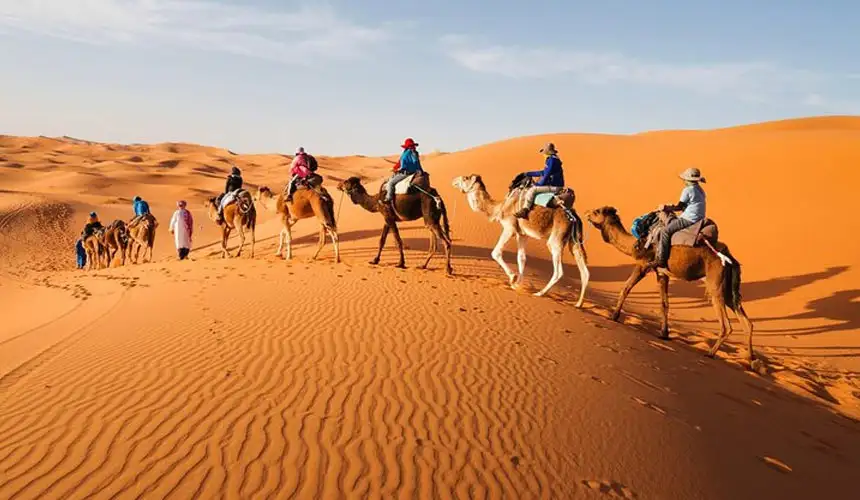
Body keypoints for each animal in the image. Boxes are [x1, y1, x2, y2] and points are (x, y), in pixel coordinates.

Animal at [451, 174, 590, 306]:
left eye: (466, 178)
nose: (453, 180)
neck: (500, 207)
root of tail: (574, 217)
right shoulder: (522, 234)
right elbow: (521, 258)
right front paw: (518, 284)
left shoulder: (510, 228)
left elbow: (496, 253)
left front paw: (513, 278)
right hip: (574, 241)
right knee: (584, 271)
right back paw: (579, 303)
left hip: (556, 239)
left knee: (558, 271)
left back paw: (539, 293)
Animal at [584, 206, 755, 363]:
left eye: (597, 212)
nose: (586, 213)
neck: (635, 244)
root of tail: (730, 258)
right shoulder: (662, 273)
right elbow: (664, 303)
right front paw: (664, 333)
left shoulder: (643, 264)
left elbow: (626, 288)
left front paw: (614, 316)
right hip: (728, 287)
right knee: (746, 321)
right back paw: (750, 360)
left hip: (715, 282)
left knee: (726, 324)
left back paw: (711, 353)